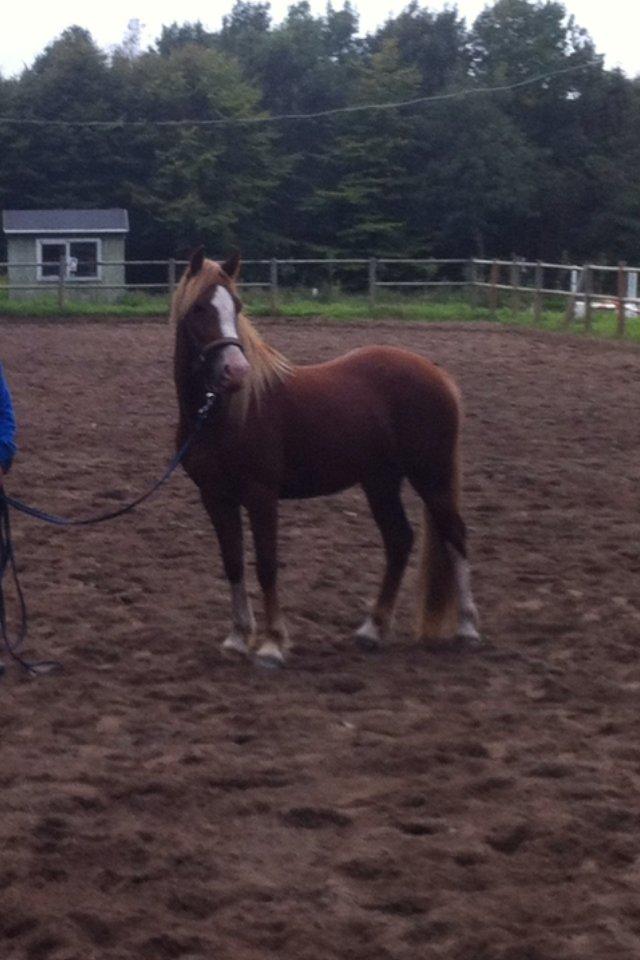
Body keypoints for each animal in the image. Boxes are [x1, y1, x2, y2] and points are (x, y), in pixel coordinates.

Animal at [172, 248, 478, 668]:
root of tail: (437, 374)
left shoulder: (261, 495)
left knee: (455, 535)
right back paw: (372, 630)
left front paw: (271, 645)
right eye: (200, 307)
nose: (236, 371)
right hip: (381, 481)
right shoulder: (215, 497)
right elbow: (232, 561)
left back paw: (467, 627)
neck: (224, 415)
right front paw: (237, 638)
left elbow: (266, 564)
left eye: (236, 306)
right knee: (399, 539)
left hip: (432, 476)